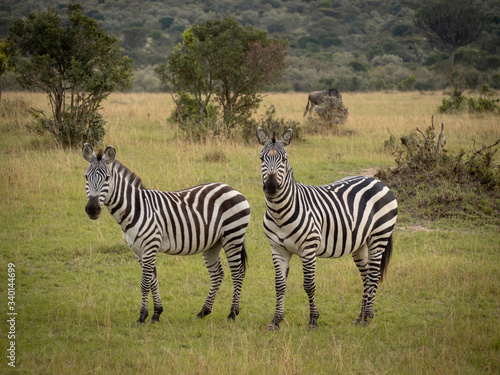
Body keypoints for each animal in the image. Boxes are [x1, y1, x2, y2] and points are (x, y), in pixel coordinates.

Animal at [83, 144, 252, 326]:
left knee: (237, 273)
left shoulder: (150, 246)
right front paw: (157, 313)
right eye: (86, 177)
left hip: (232, 236)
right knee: (217, 274)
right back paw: (203, 311)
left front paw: (142, 317)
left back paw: (232, 313)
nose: (92, 209)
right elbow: (153, 280)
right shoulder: (139, 251)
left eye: (107, 178)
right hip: (213, 243)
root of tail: (231, 188)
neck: (135, 208)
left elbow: (145, 283)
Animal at [256, 129, 396, 332]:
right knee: (366, 276)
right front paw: (275, 321)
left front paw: (313, 320)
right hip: (360, 244)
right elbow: (280, 285)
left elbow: (309, 285)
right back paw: (360, 317)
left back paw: (368, 318)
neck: (279, 213)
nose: (271, 186)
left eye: (284, 159)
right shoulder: (277, 249)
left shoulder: (308, 249)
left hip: (379, 237)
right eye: (261, 158)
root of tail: (378, 180)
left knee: (373, 275)